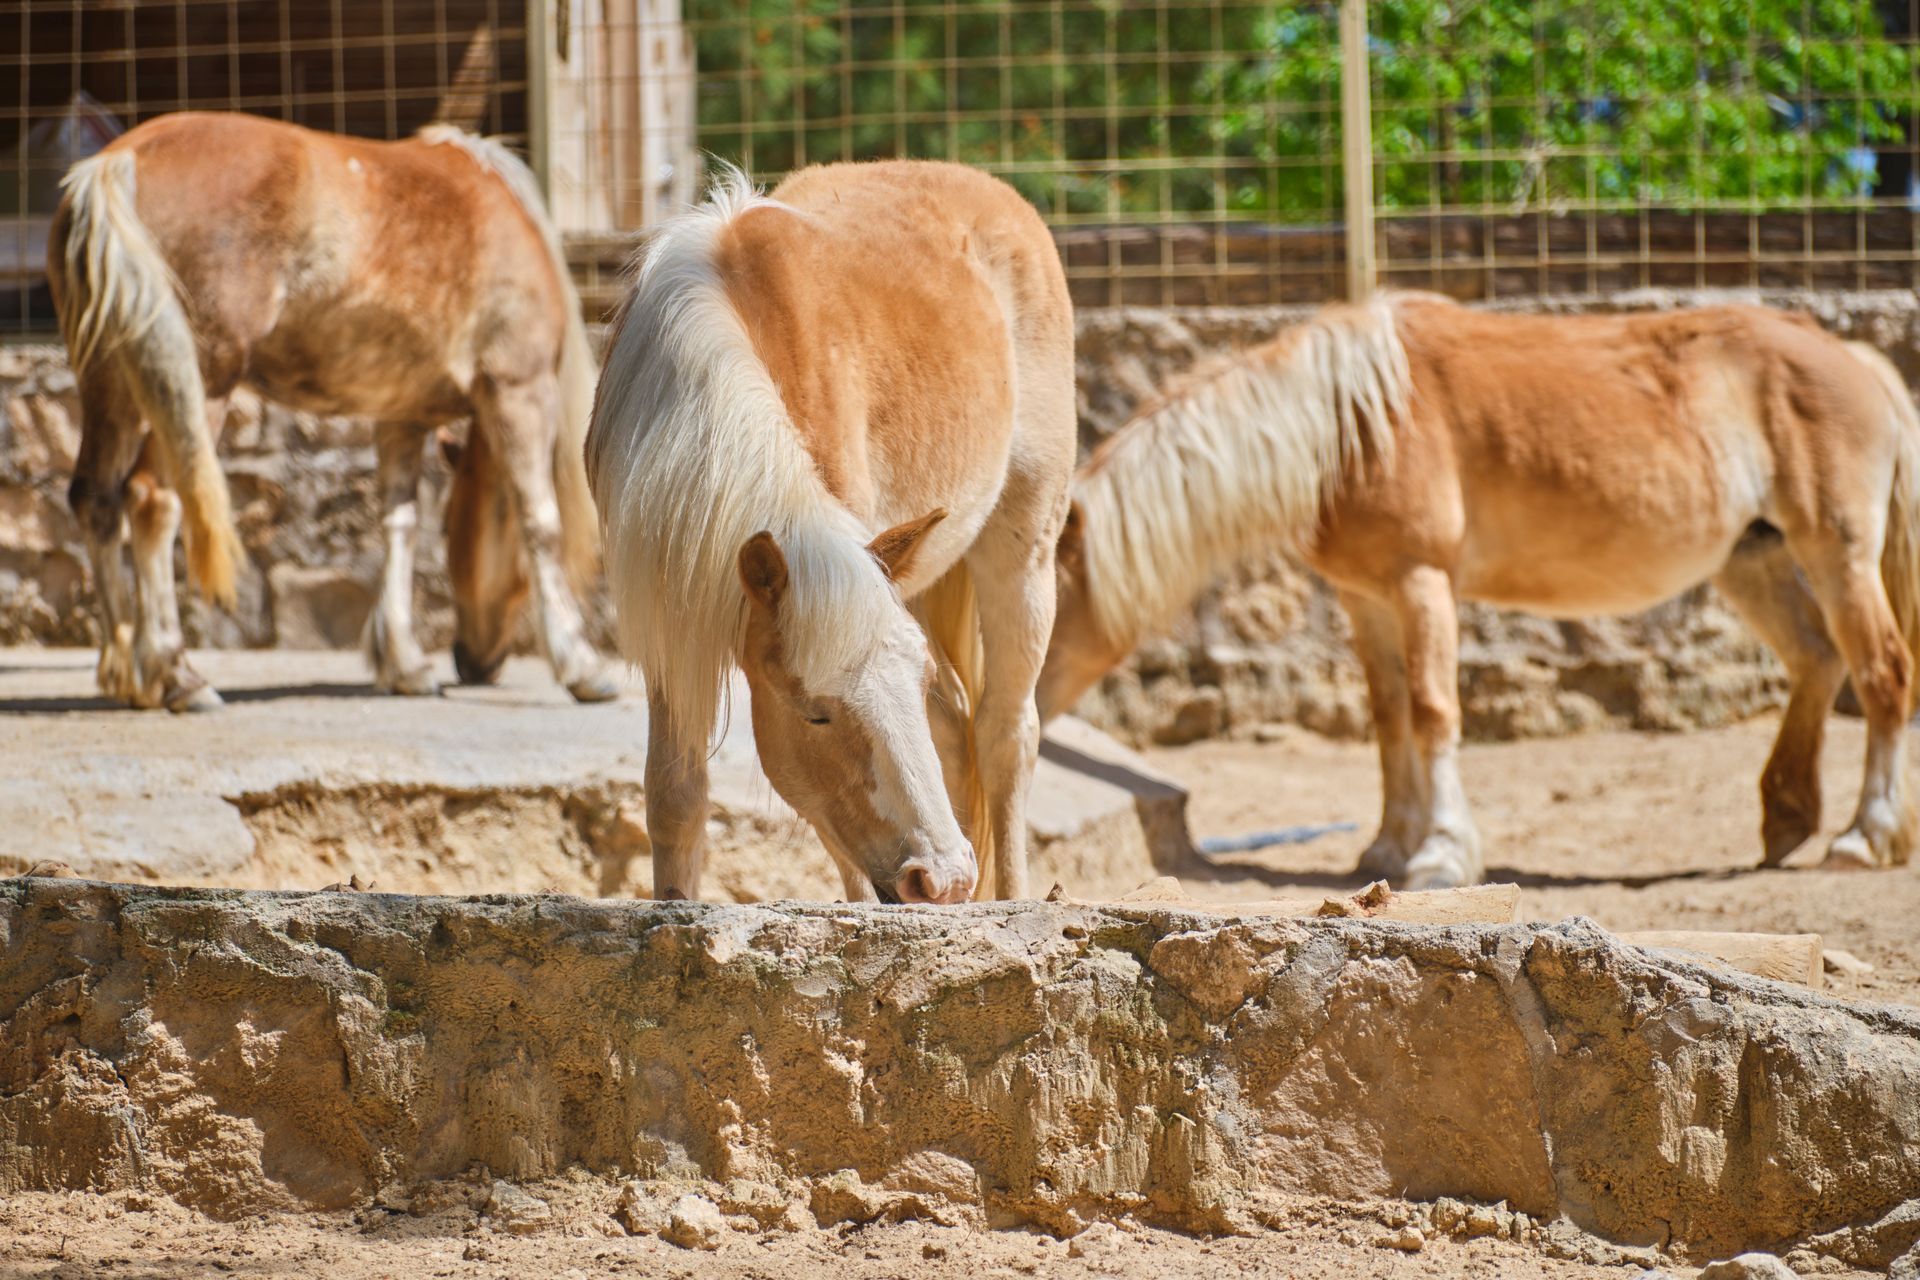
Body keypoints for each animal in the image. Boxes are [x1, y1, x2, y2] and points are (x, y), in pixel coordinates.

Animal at [47, 111, 615, 711]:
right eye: (456, 529)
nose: (472, 662)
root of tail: (119, 162)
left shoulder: (402, 416)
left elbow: (398, 524)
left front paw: (406, 664)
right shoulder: (518, 388)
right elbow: (541, 522)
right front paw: (582, 665)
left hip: (111, 388)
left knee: (95, 500)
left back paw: (124, 669)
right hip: (196, 388)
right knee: (154, 501)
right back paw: (176, 673)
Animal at [586, 161, 1075, 903]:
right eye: (815, 712)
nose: (944, 880)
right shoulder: (669, 610)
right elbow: (677, 798)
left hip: (1022, 552)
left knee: (1005, 734)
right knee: (958, 729)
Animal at [1038, 293, 1920, 889]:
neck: (1351, 426)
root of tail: (1853, 357)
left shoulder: (1421, 582)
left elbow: (1433, 713)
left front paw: (1439, 852)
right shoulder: (1367, 599)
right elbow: (1390, 720)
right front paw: (1387, 846)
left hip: (1835, 552)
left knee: (1881, 673)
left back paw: (1865, 835)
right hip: (1751, 560)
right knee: (1817, 660)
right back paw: (1788, 817)